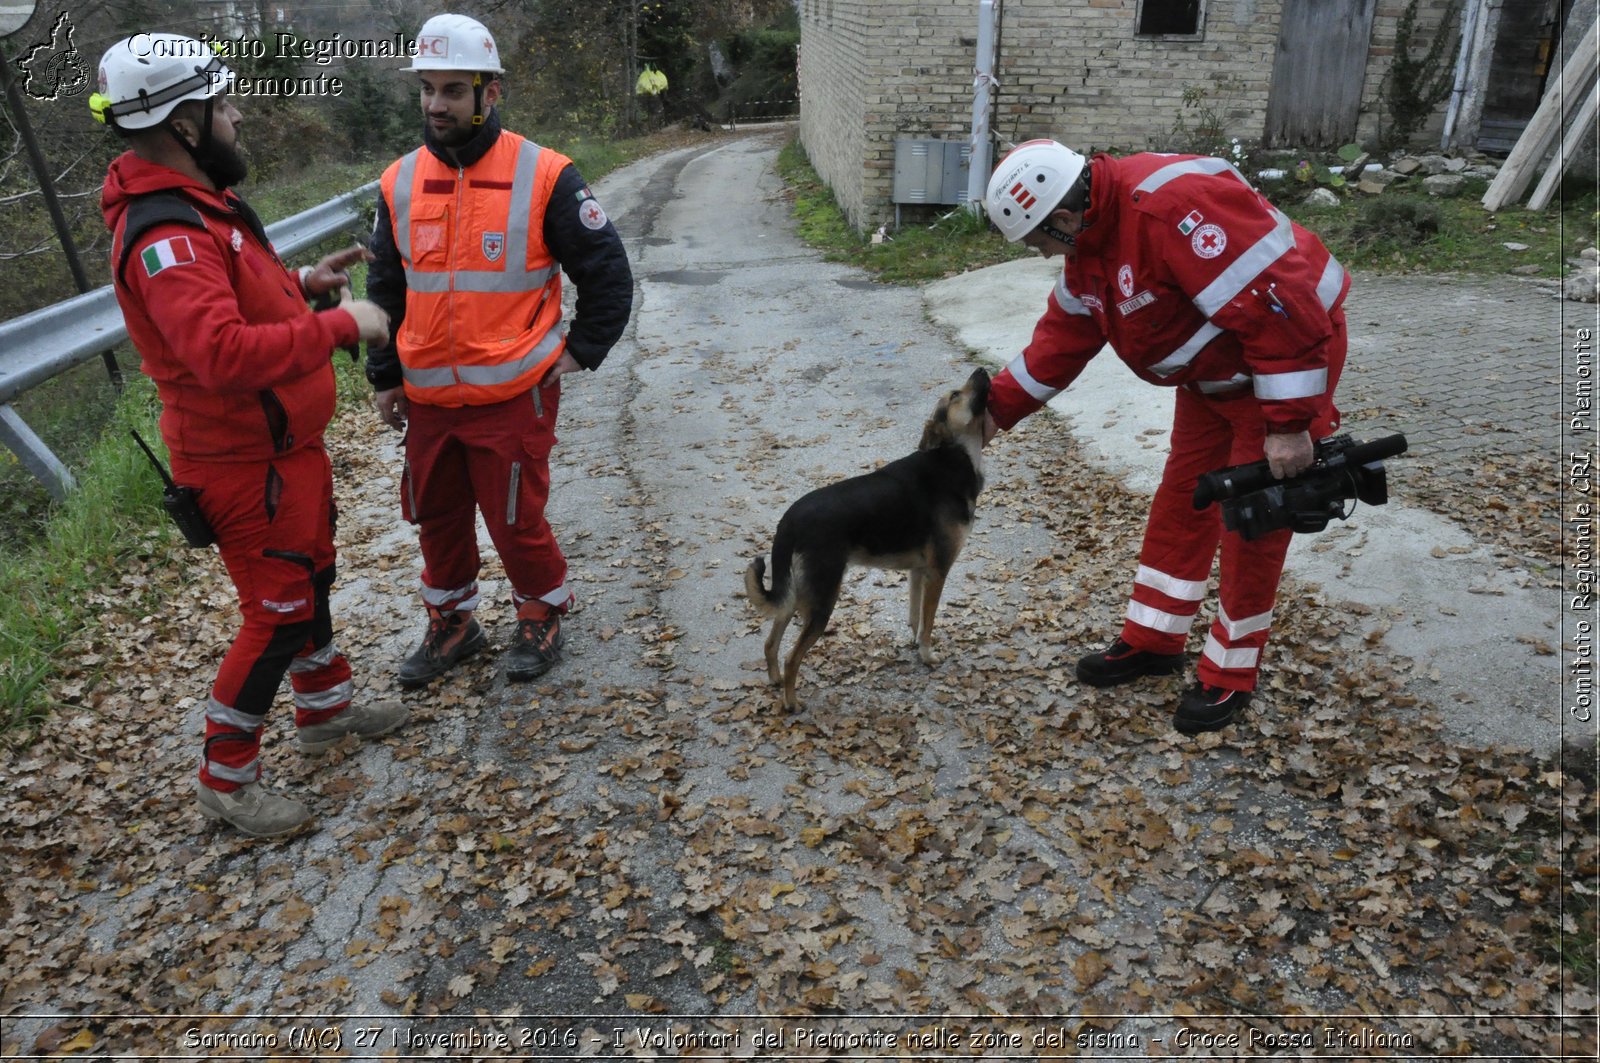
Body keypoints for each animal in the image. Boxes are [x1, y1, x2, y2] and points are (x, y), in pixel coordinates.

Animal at [745, 369, 985, 710]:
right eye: (955, 394)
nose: (981, 371)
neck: (953, 457)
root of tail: (789, 520)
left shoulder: (918, 572)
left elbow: (915, 619)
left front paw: (915, 646)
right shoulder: (937, 572)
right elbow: (928, 623)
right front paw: (927, 656)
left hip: (795, 594)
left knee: (770, 643)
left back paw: (775, 681)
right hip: (822, 600)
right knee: (793, 658)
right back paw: (792, 703)